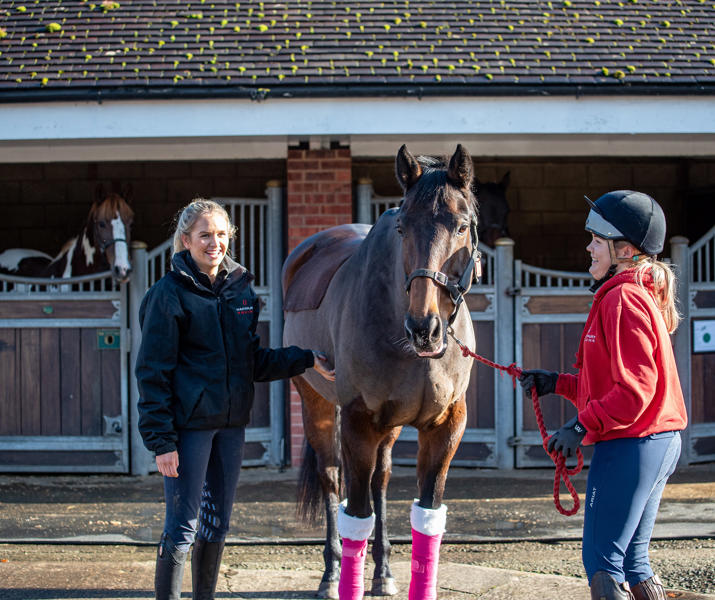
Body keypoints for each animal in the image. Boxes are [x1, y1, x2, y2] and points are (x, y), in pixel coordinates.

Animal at [282, 145, 479, 600]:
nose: (424, 328)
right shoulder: (357, 422)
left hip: (388, 427)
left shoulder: (447, 426)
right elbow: (355, 512)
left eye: (462, 226)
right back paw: (330, 574)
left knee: (381, 479)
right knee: (332, 478)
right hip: (316, 405)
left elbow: (427, 513)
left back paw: (384, 570)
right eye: (402, 227)